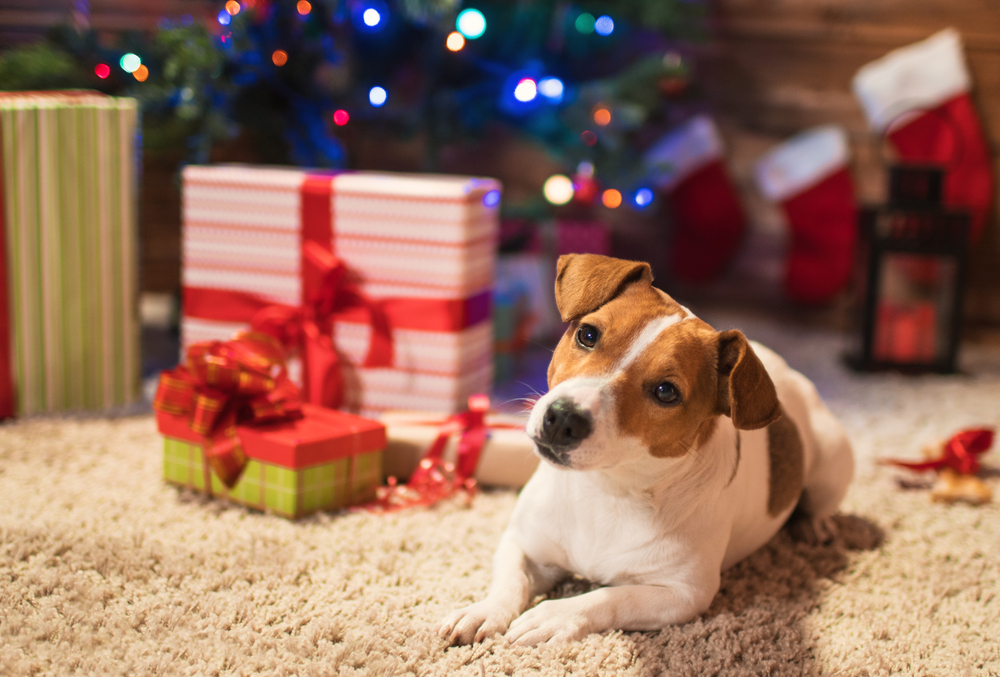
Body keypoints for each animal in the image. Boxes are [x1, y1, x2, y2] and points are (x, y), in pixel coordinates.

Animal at [438, 252, 852, 644]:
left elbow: (609, 597)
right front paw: (485, 610)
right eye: (588, 334)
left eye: (666, 391)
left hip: (834, 461)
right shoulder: (523, 543)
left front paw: (553, 615)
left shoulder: (682, 595)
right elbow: (511, 581)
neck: (607, 490)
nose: (563, 418)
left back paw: (815, 523)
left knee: (821, 499)